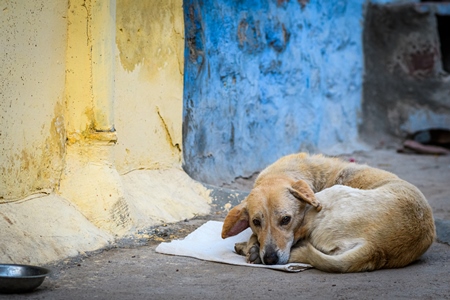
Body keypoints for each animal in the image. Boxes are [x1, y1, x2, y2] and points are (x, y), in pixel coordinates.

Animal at [221, 154, 436, 274]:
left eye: (286, 219)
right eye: (256, 221)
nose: (271, 260)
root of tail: (376, 248)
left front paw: (250, 246)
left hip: (329, 196)